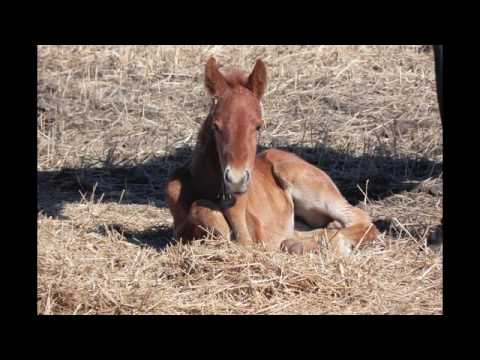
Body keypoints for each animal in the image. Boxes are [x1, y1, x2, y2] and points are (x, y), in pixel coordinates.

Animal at [165, 57, 378, 256]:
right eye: (216, 126)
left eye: (258, 126)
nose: (236, 179)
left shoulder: (249, 236)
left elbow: (210, 214)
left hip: (305, 183)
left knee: (360, 218)